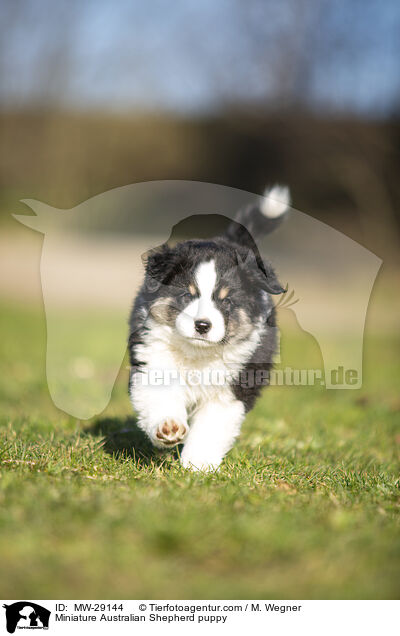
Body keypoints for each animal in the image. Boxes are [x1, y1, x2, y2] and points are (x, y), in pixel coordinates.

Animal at [130, 185, 290, 472]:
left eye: (226, 301)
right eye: (187, 295)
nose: (202, 325)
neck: (197, 354)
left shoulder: (231, 390)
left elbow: (210, 426)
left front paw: (198, 465)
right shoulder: (152, 357)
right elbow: (160, 395)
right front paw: (168, 428)